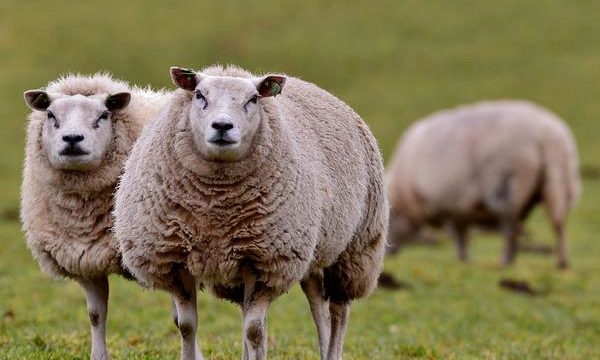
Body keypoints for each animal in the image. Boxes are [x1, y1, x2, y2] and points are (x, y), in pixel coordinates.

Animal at [21, 73, 169, 360]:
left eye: (103, 115)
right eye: (51, 115)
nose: (72, 138)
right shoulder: (87, 258)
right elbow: (95, 315)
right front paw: (98, 356)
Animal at [114, 64, 386, 360]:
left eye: (253, 99)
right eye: (199, 95)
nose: (222, 126)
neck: (215, 205)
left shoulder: (265, 260)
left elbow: (254, 330)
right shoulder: (176, 259)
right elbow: (187, 326)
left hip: (354, 251)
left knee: (338, 312)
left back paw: (333, 350)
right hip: (312, 250)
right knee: (317, 305)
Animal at [386, 100, 580, 268]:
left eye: (390, 216)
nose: (388, 253)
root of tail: (546, 136)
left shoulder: (449, 205)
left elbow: (459, 235)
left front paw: (462, 259)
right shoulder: (460, 209)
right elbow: (462, 233)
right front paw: (463, 259)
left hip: (507, 187)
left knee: (511, 229)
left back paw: (506, 261)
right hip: (559, 182)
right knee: (559, 223)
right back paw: (562, 262)